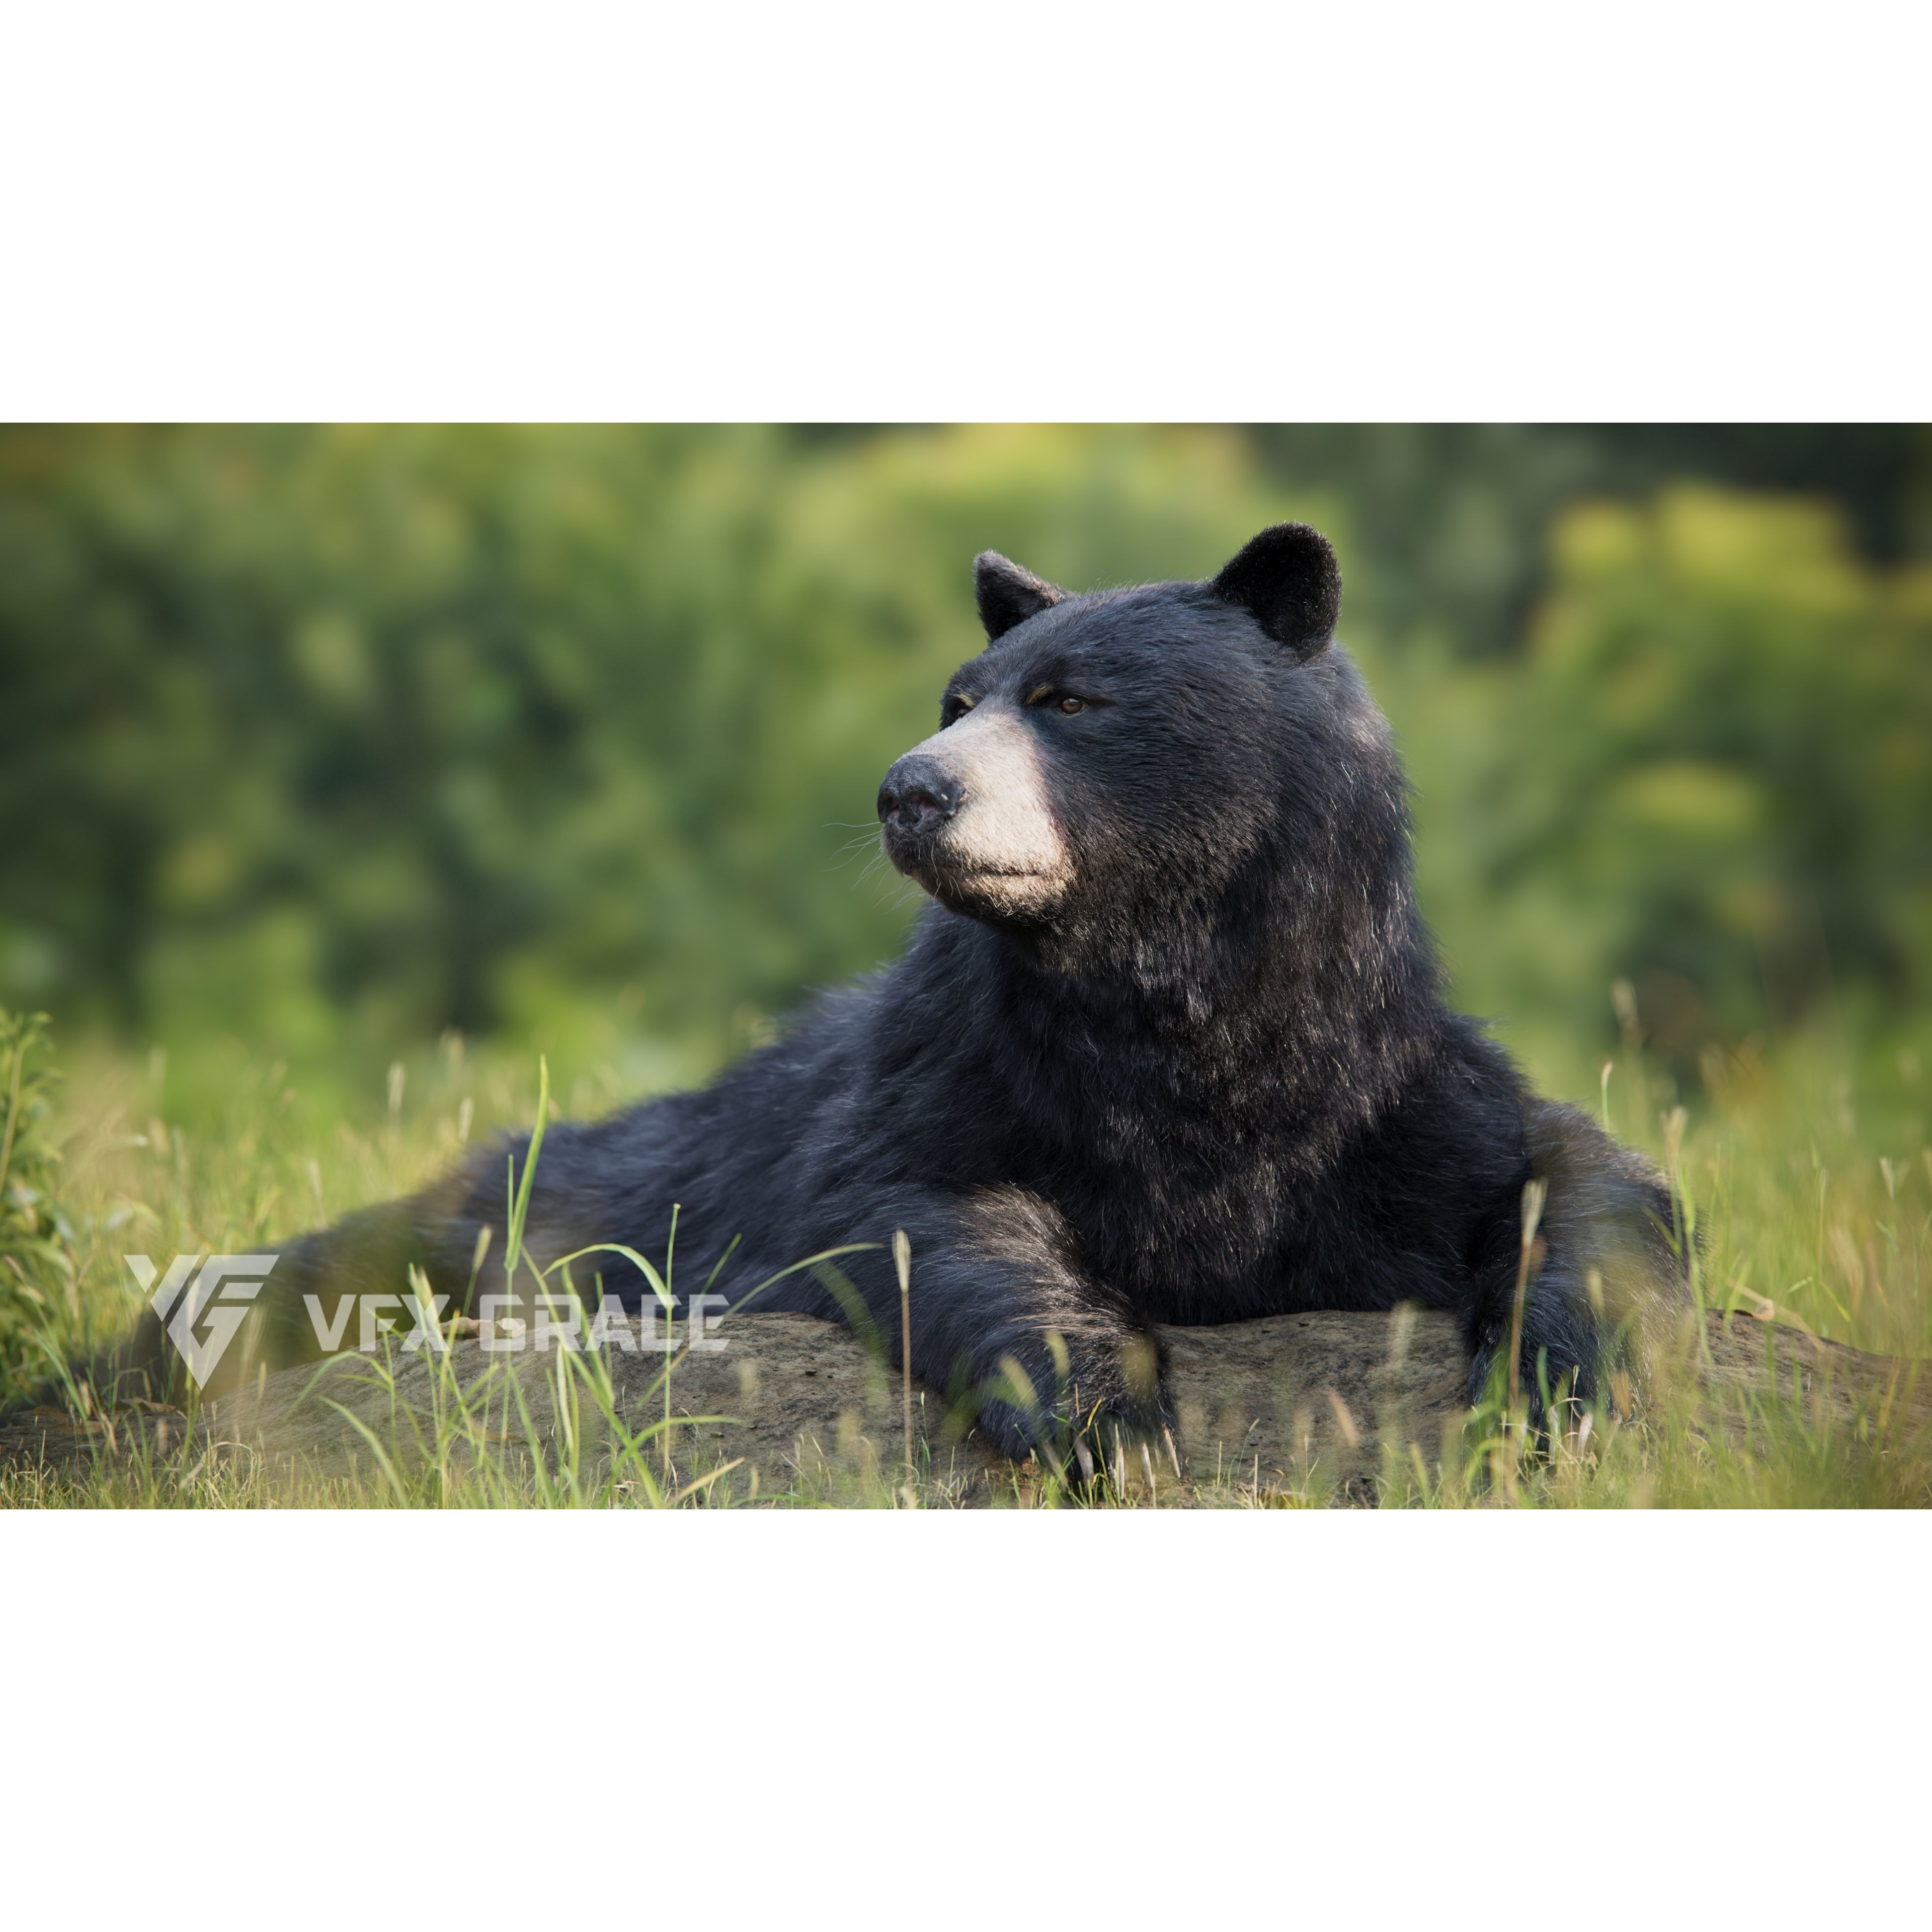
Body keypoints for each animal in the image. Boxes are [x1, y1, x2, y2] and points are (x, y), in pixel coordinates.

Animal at [165, 522, 1687, 1456]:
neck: (1159, 997)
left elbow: (1573, 1167)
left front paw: (1561, 1393)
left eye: (1070, 702)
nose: (909, 790)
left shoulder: (1379, 1076)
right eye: (960, 702)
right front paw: (1105, 1416)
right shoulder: (951, 1073)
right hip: (521, 1206)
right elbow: (916, 1211)